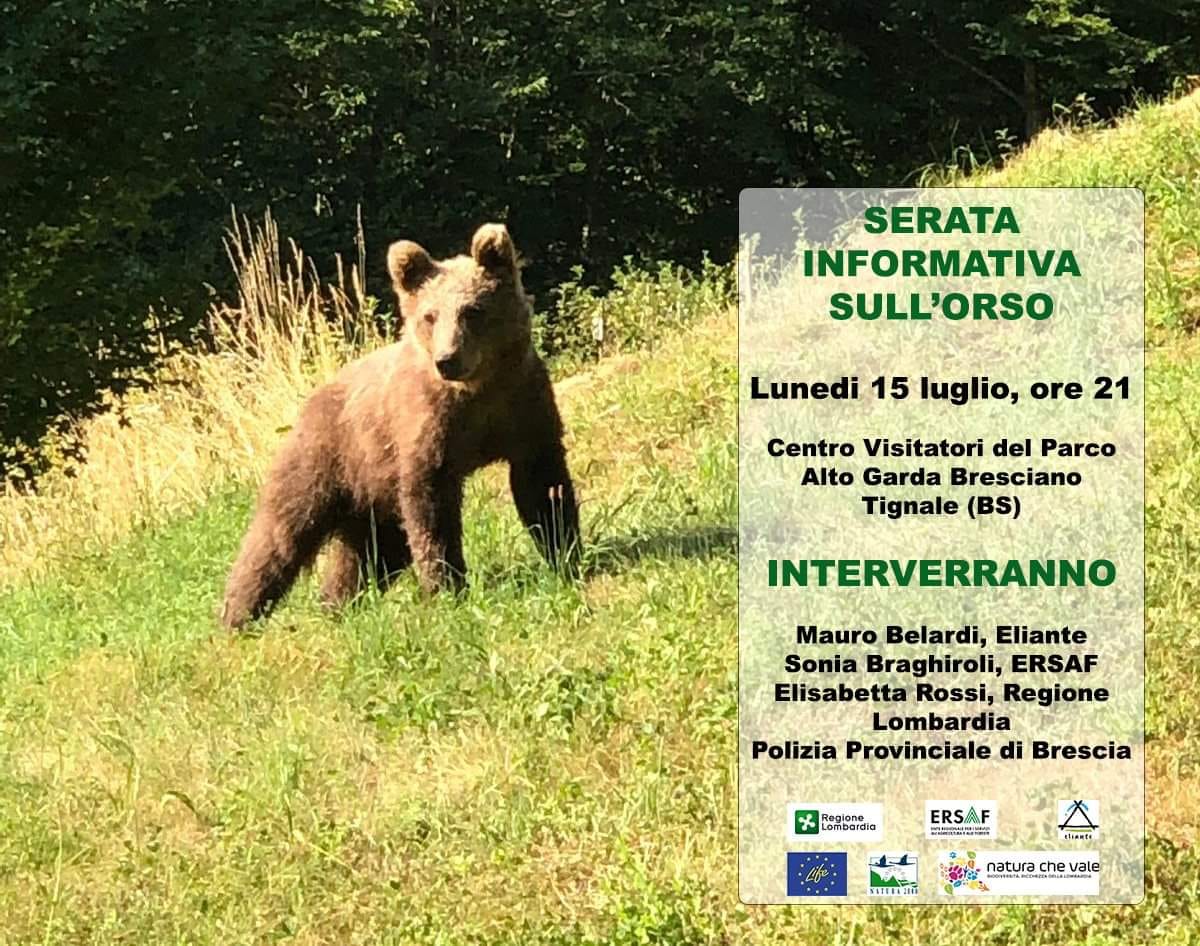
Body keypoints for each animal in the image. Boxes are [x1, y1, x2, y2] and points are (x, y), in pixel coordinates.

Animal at [220, 223, 580, 630]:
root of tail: (311, 400)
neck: (478, 390)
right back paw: (239, 614)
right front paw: (445, 585)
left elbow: (542, 484)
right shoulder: (427, 429)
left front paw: (565, 553)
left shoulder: (522, 408)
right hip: (326, 459)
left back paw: (337, 604)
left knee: (369, 553)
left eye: (472, 310)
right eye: (430, 315)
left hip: (373, 490)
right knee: (280, 531)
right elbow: (431, 510)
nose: (447, 359)